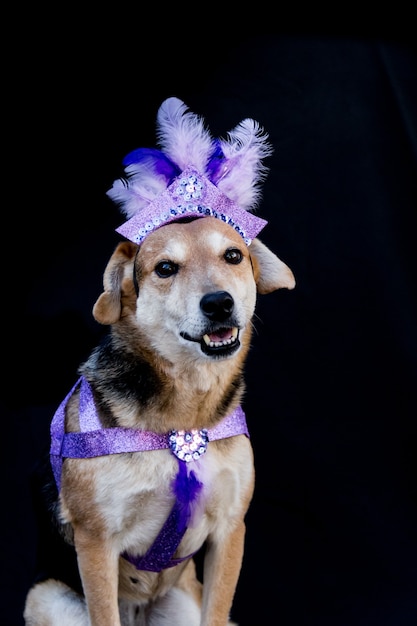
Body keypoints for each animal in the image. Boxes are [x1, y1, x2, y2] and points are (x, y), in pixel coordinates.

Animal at [23, 97, 296, 624]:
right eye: (165, 268)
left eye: (234, 256)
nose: (219, 304)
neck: (183, 414)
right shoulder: (96, 543)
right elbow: (103, 610)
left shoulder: (230, 530)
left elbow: (217, 608)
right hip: (45, 597)